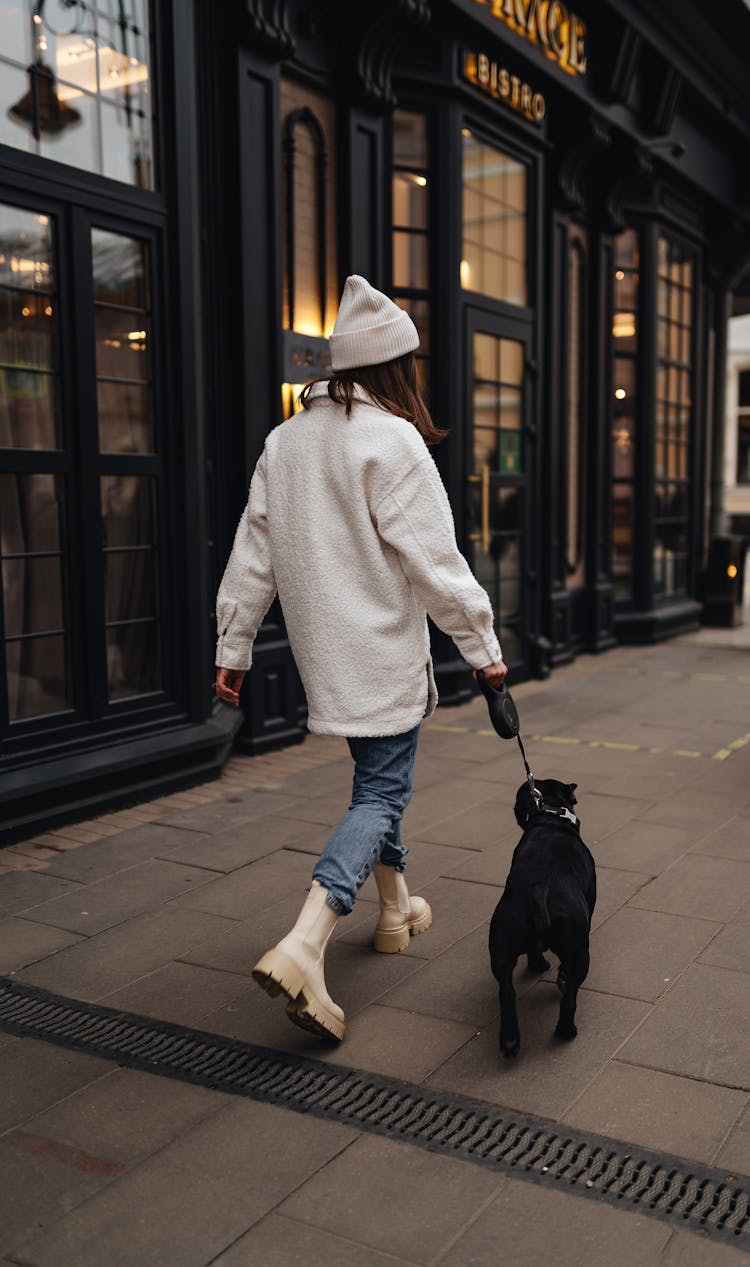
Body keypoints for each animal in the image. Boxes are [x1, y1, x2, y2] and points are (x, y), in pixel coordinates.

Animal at [486, 775, 597, 1054]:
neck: (550, 815)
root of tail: (540, 889)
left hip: (502, 944)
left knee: (506, 992)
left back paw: (510, 1040)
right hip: (580, 953)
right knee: (570, 996)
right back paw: (566, 1030)